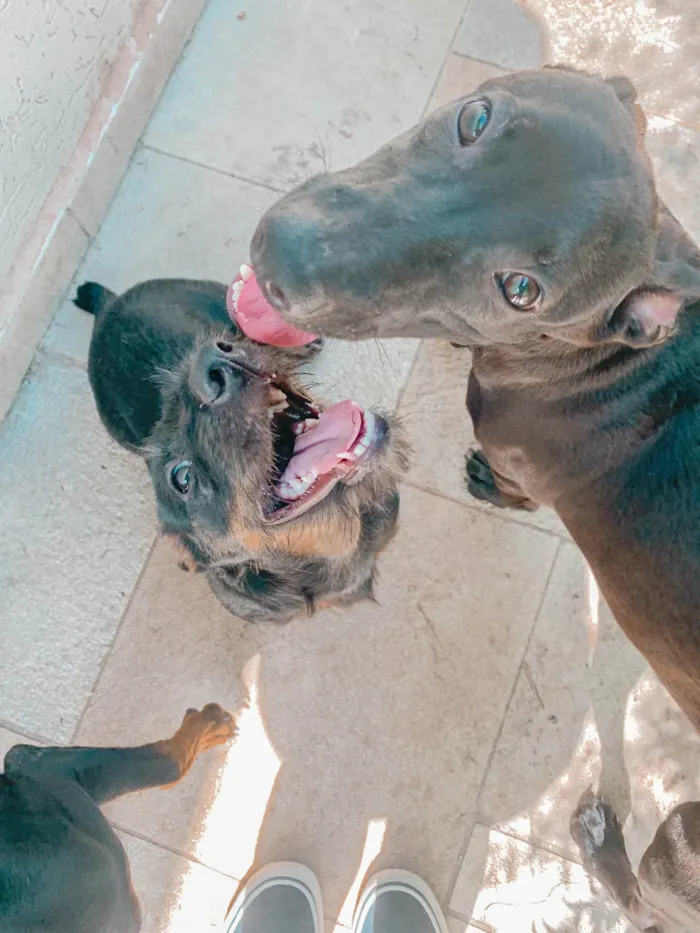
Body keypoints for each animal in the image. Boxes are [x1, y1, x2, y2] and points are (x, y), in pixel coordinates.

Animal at [250, 67, 700, 932]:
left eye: (521, 288)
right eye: (476, 117)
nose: (279, 254)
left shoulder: (520, 459)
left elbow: (512, 486)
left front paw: (487, 482)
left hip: (684, 843)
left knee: (648, 901)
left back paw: (600, 843)